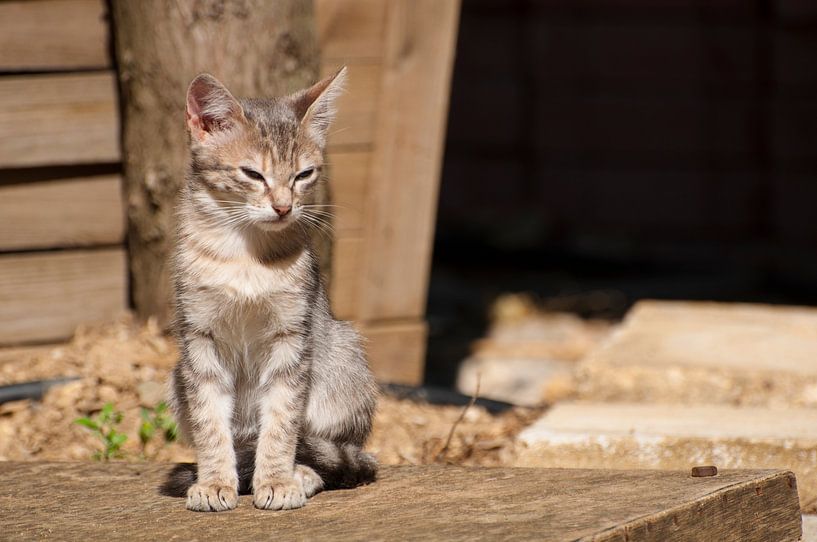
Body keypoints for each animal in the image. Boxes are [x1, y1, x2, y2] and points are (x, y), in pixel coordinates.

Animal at [169, 69, 380, 516]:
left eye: (304, 174)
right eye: (252, 174)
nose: (284, 207)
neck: (245, 256)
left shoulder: (292, 338)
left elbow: (282, 423)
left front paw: (277, 480)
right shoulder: (199, 340)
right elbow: (210, 424)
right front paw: (214, 482)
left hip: (344, 360)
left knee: (335, 453)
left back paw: (302, 473)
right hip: (175, 378)